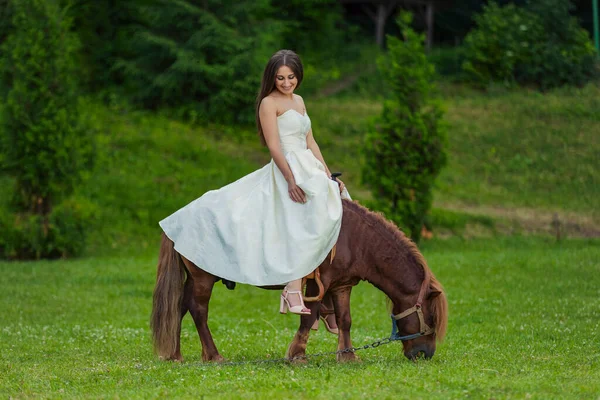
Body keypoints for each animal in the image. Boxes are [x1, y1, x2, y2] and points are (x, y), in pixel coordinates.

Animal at [152, 200, 448, 362]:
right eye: (431, 318)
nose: (425, 354)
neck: (355, 238)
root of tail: (176, 221)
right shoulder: (320, 283)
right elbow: (309, 316)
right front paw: (297, 355)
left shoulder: (342, 285)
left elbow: (345, 319)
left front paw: (347, 355)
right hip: (203, 277)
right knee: (198, 310)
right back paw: (213, 355)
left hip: (195, 278)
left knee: (179, 307)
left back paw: (175, 355)